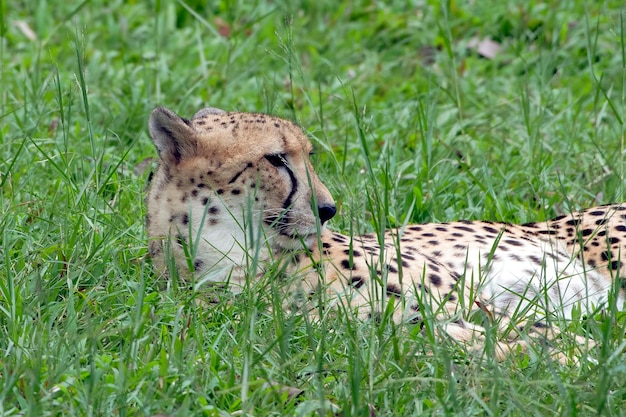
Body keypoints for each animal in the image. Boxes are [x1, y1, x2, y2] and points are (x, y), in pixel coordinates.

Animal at [145, 107, 624, 358]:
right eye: (276, 159)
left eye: (307, 155)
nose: (327, 209)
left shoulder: (465, 299)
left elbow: (538, 329)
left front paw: (585, 359)